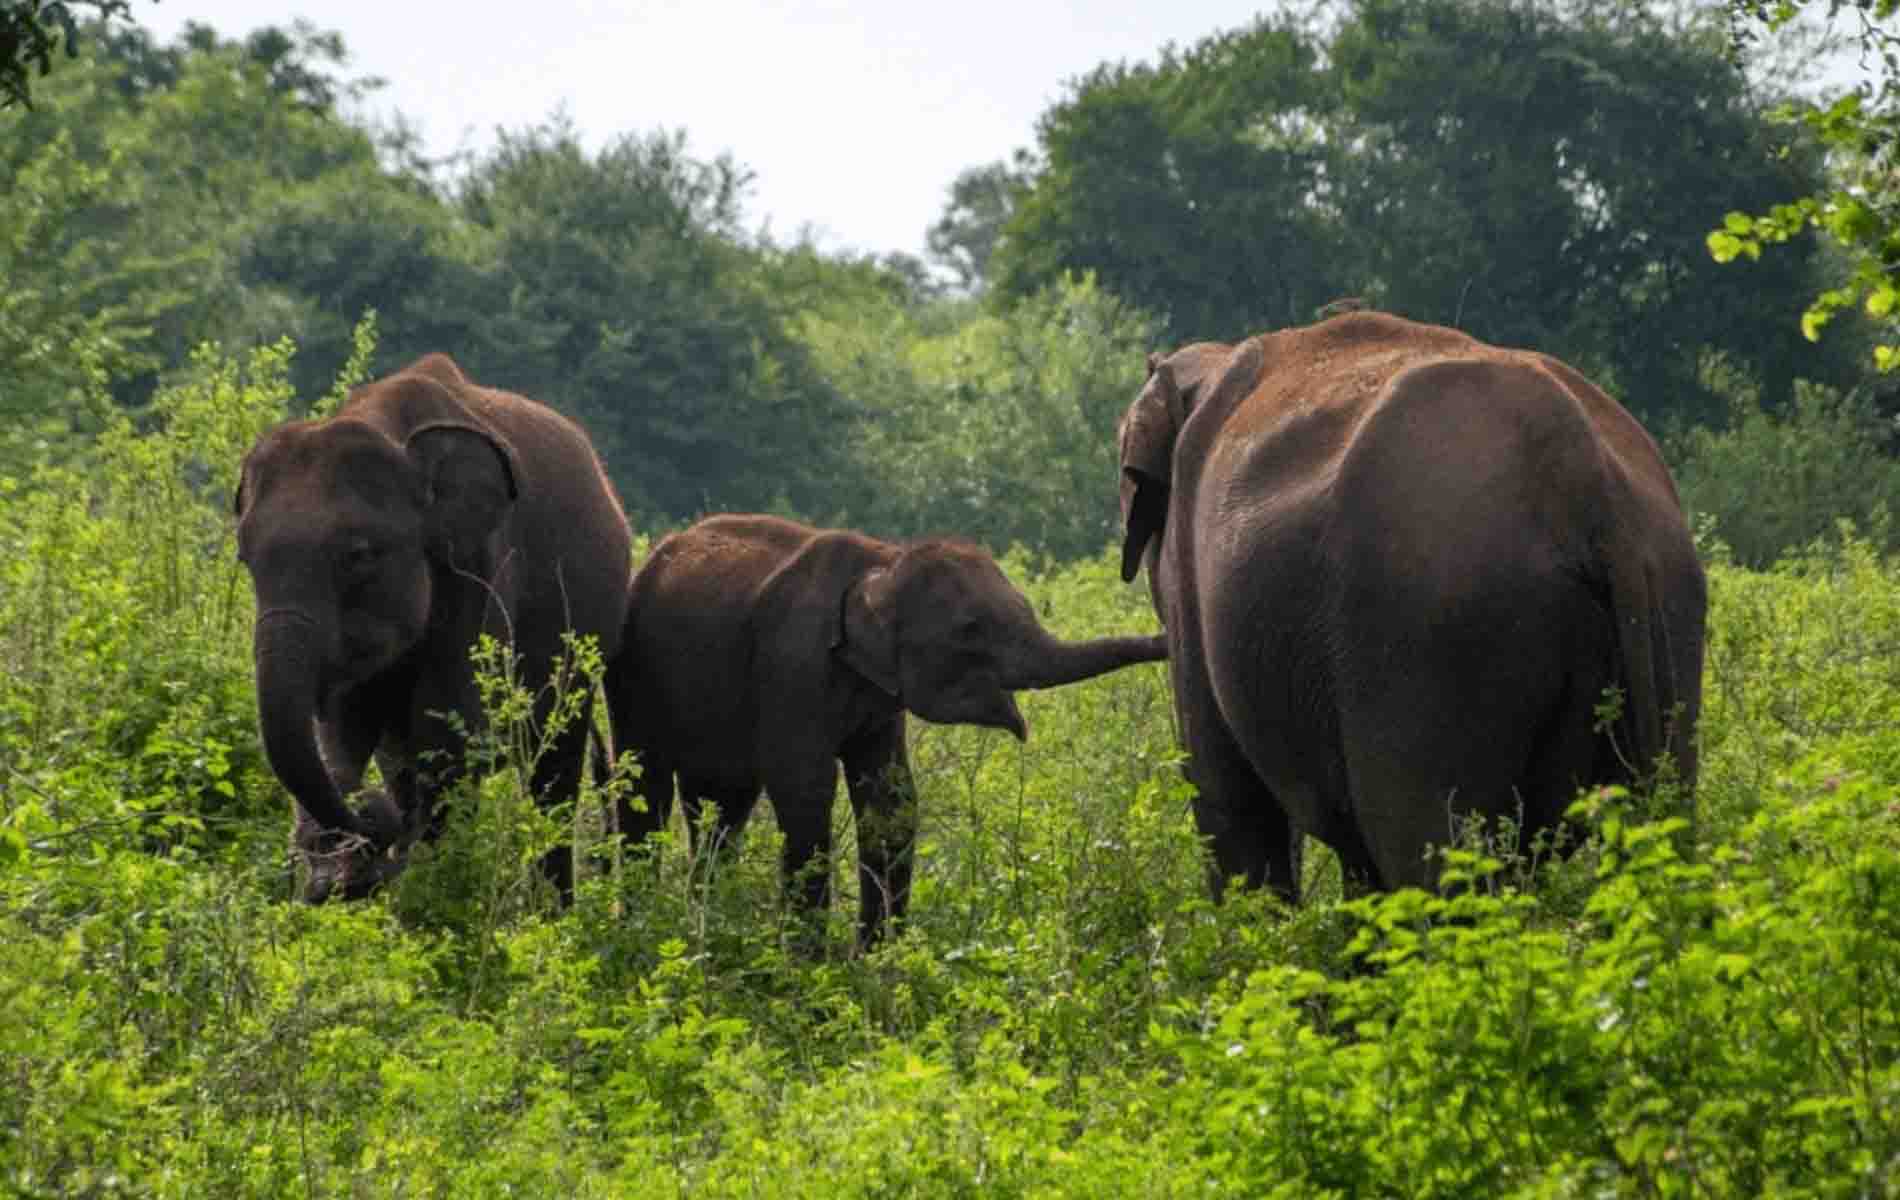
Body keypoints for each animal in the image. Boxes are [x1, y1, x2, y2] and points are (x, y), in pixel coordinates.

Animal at [237, 351, 630, 896]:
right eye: (244, 559)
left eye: (358, 556)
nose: (373, 831)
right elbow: (345, 725)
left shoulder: (479, 566)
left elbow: (445, 731)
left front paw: (423, 890)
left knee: (552, 769)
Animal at [615, 512, 1162, 945]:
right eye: (970, 629)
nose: (1167, 636)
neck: (883, 561)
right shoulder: (791, 667)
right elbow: (805, 791)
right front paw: (812, 966)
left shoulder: (878, 698)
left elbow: (890, 799)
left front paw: (876, 960)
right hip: (634, 666)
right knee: (646, 785)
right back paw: (646, 927)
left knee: (720, 805)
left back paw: (704, 927)